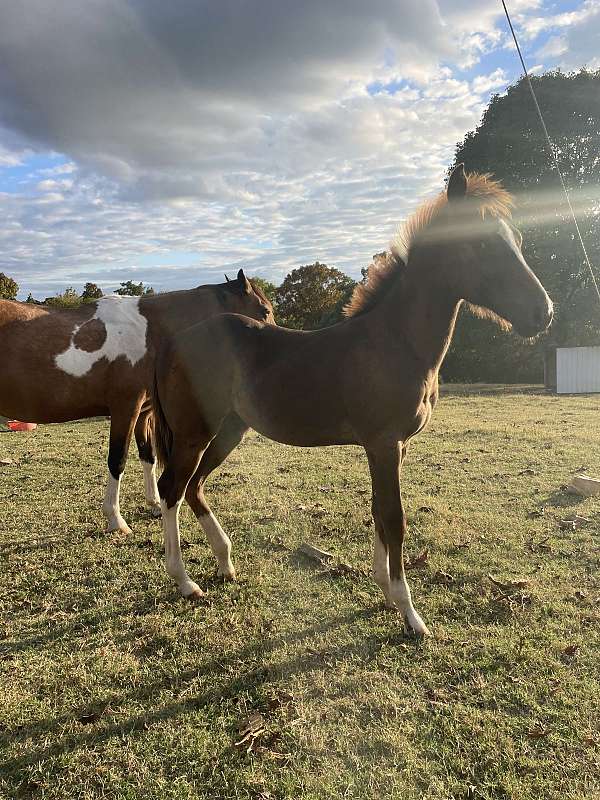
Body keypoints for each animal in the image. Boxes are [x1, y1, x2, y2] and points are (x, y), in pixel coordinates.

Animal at [0, 268, 272, 532]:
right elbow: (117, 460)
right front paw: (115, 519)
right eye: (265, 311)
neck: (150, 332)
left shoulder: (143, 412)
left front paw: (154, 504)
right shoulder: (126, 407)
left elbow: (147, 456)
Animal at [151, 166, 552, 636]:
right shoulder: (384, 443)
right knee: (171, 489)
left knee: (194, 486)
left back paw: (225, 564)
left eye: (516, 239)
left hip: (229, 430)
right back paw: (185, 582)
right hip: (194, 432)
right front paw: (411, 615)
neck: (395, 341)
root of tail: (174, 343)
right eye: (482, 241)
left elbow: (379, 511)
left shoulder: (394, 447)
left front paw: (386, 592)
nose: (542, 313)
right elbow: (394, 519)